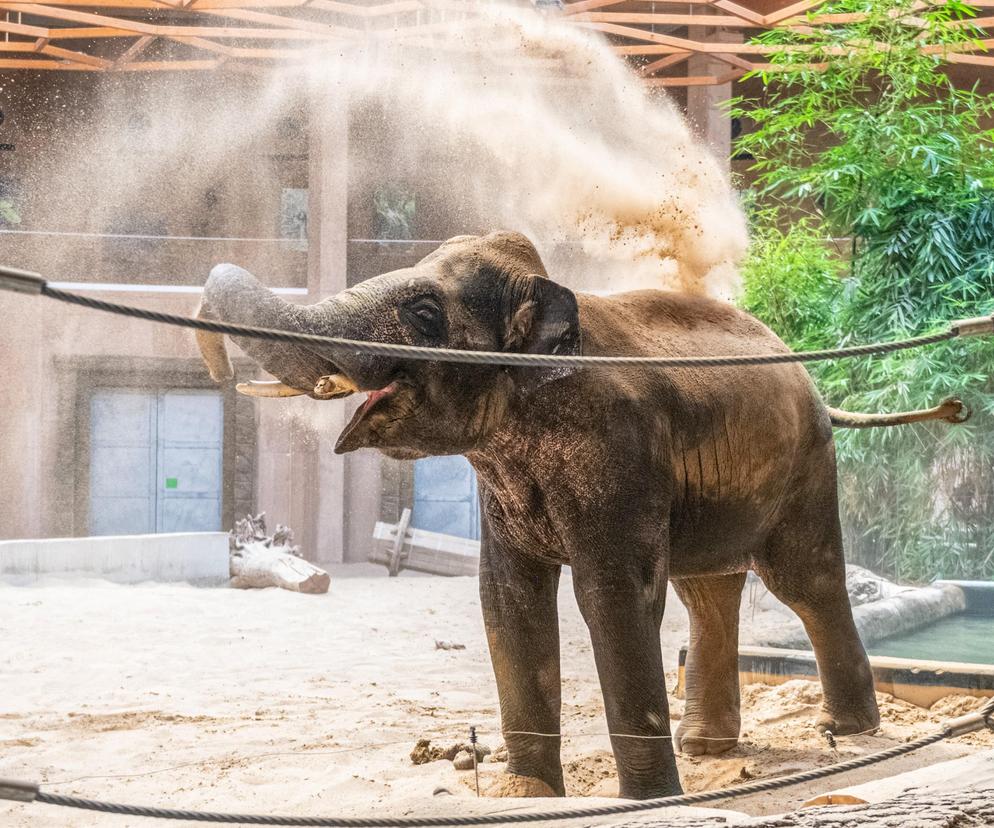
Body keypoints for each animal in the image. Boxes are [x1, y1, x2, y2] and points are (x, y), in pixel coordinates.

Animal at [192, 230, 960, 800]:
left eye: (425, 315)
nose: (217, 364)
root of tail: (811, 381)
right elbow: (507, 599)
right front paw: (527, 794)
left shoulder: (620, 456)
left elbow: (613, 596)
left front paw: (647, 800)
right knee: (707, 591)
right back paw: (708, 748)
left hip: (807, 467)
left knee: (805, 581)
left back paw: (846, 733)